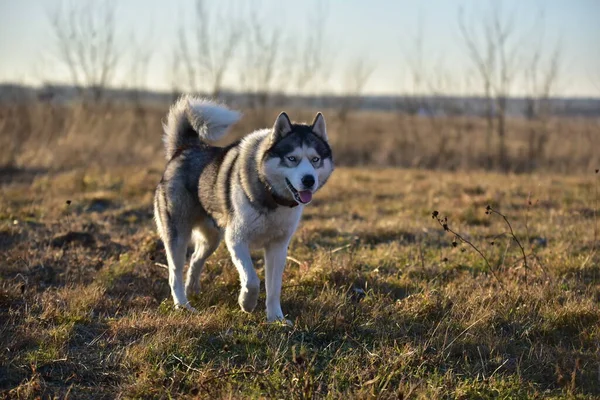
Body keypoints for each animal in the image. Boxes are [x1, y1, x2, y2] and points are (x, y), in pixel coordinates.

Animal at [154, 96, 332, 322]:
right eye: (292, 158)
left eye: (315, 159)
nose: (309, 180)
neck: (270, 195)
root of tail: (185, 148)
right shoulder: (237, 240)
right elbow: (252, 280)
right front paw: (246, 303)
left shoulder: (278, 247)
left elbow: (274, 288)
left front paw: (276, 318)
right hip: (177, 236)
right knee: (174, 274)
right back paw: (183, 305)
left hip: (212, 240)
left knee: (195, 259)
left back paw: (192, 289)